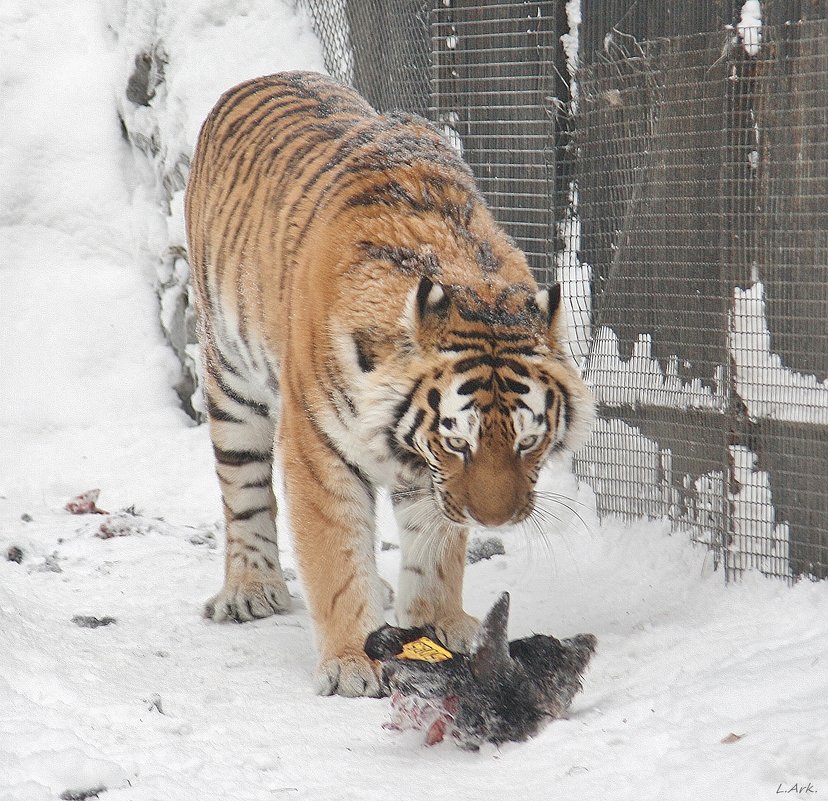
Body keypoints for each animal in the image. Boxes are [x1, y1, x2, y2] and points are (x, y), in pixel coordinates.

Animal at [184, 72, 592, 696]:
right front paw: (353, 660)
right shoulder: (319, 449)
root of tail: (262, 77)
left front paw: (435, 624)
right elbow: (334, 553)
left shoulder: (429, 475)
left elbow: (435, 548)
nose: (493, 522)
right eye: (458, 442)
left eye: (529, 441)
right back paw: (251, 589)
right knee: (245, 493)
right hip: (232, 380)